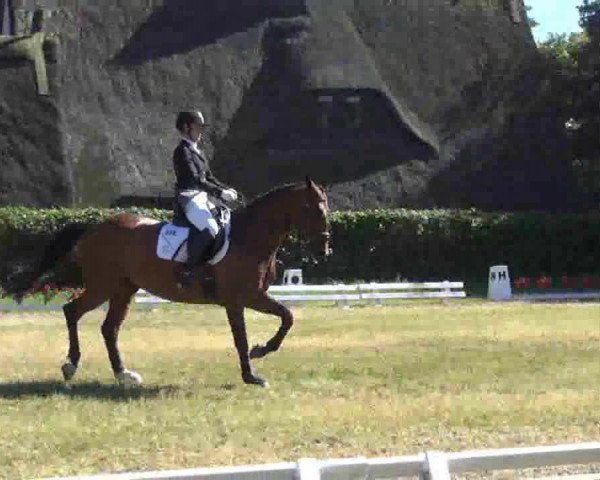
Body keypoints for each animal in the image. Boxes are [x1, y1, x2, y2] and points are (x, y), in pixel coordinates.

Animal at [15, 178, 332, 388]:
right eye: (314, 208)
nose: (324, 250)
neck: (249, 237)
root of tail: (94, 228)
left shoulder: (255, 296)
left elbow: (287, 317)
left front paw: (262, 351)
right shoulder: (239, 300)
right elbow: (242, 337)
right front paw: (252, 373)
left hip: (124, 288)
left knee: (109, 328)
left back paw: (124, 374)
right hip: (103, 285)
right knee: (72, 311)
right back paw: (71, 365)